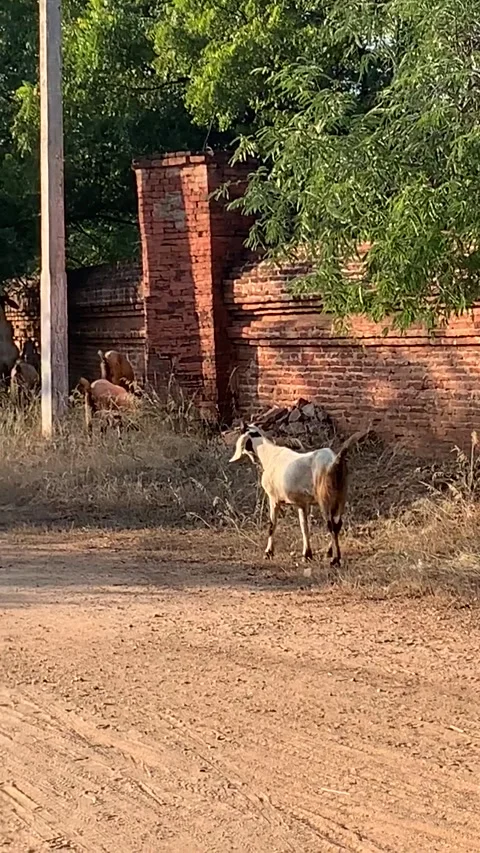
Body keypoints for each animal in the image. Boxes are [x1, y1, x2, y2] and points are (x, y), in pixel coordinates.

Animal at [229, 422, 369, 565]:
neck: (270, 455)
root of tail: (335, 461)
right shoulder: (302, 503)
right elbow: (304, 527)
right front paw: (307, 554)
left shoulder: (273, 498)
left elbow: (272, 525)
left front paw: (268, 552)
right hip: (340, 497)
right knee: (338, 523)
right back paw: (330, 552)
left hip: (325, 498)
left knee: (331, 525)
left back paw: (335, 559)